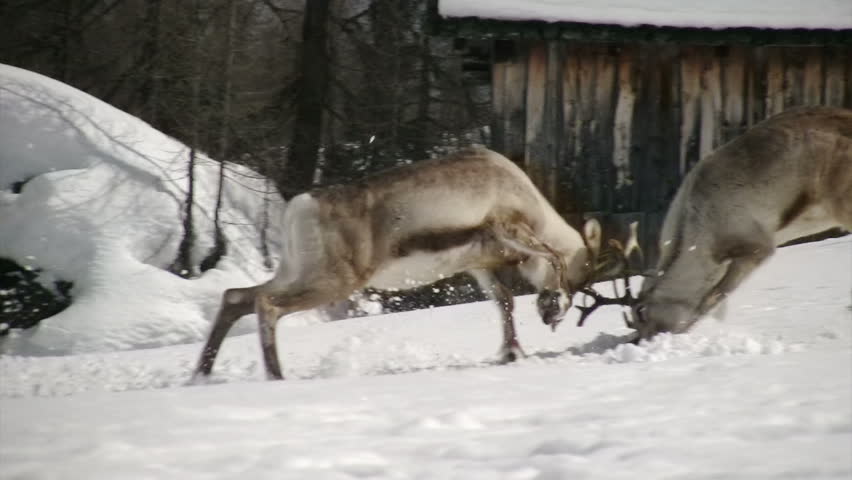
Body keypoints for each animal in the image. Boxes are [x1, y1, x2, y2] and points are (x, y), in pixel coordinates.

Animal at [192, 147, 605, 381]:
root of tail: (300, 206)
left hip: (295, 272)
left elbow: (503, 301)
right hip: (332, 281)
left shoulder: (478, 265)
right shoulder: (508, 228)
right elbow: (547, 256)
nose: (553, 313)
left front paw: (512, 353)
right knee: (266, 305)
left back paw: (201, 374)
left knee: (235, 297)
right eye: (576, 279)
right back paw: (275, 376)